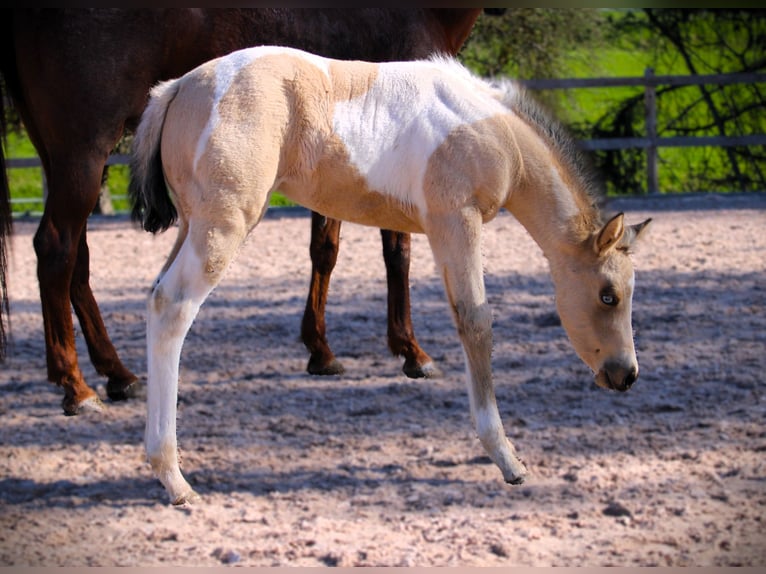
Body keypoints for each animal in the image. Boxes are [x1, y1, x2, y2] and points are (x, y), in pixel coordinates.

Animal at [0, 8, 488, 416]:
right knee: (56, 247)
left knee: (77, 258)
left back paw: (116, 375)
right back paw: (76, 387)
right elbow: (397, 251)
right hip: (83, 152)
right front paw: (411, 351)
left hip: (63, 157)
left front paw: (321, 350)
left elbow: (325, 249)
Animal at [129, 46, 652, 505]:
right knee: (172, 307)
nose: (625, 375)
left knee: (155, 300)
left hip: (192, 225)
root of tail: (178, 86)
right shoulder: (455, 221)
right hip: (222, 226)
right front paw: (507, 458)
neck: (493, 128)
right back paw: (174, 479)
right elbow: (476, 323)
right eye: (608, 296)